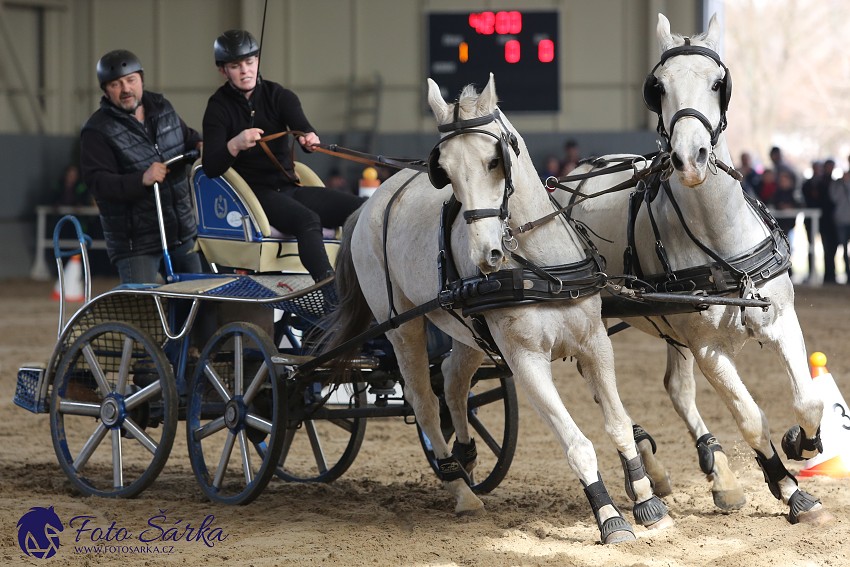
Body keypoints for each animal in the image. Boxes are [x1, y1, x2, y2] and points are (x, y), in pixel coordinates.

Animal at [322, 75, 672, 544]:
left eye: (494, 161)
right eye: (446, 171)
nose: (486, 254)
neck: (541, 265)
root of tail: (369, 204)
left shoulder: (594, 343)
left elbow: (617, 422)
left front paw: (648, 502)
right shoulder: (525, 360)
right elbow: (576, 443)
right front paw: (609, 517)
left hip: (466, 331)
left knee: (452, 382)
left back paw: (466, 455)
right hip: (401, 327)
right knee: (423, 401)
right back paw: (459, 487)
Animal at [552, 14, 832, 528]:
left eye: (719, 83)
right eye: (657, 87)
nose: (689, 158)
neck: (722, 239)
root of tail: (569, 178)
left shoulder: (782, 319)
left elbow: (808, 400)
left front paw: (802, 442)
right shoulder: (708, 348)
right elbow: (750, 417)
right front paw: (790, 490)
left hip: (671, 325)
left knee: (677, 390)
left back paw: (716, 470)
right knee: (604, 389)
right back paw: (646, 463)